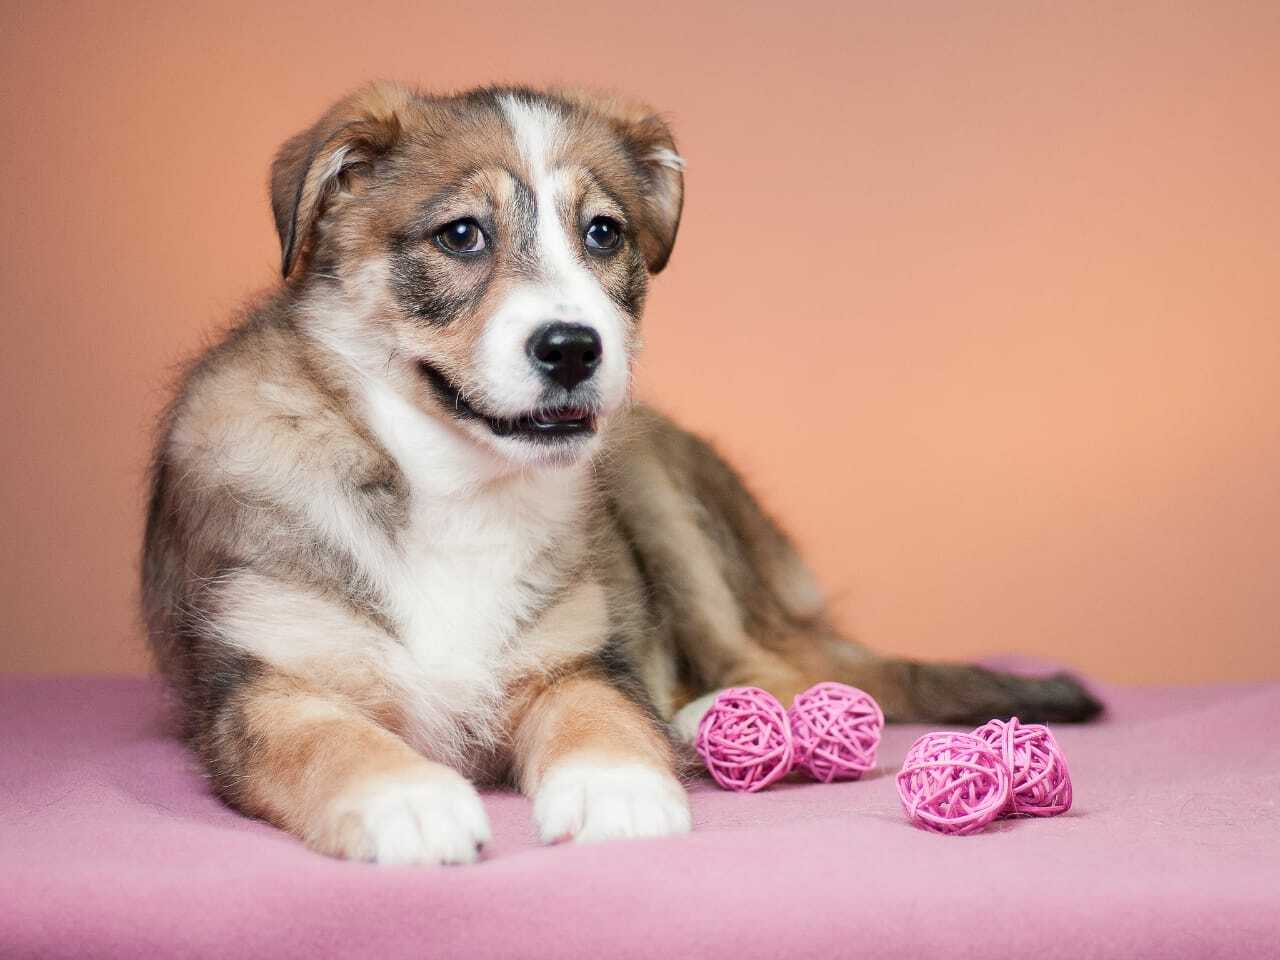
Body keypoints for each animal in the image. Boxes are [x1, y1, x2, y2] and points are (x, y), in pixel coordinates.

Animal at [142, 80, 1100, 865]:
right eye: (462, 235)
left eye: (603, 233)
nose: (573, 348)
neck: (453, 487)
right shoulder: (263, 685)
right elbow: (328, 740)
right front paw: (407, 802)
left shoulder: (574, 659)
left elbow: (600, 713)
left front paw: (620, 789)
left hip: (667, 507)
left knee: (784, 668)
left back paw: (704, 720)